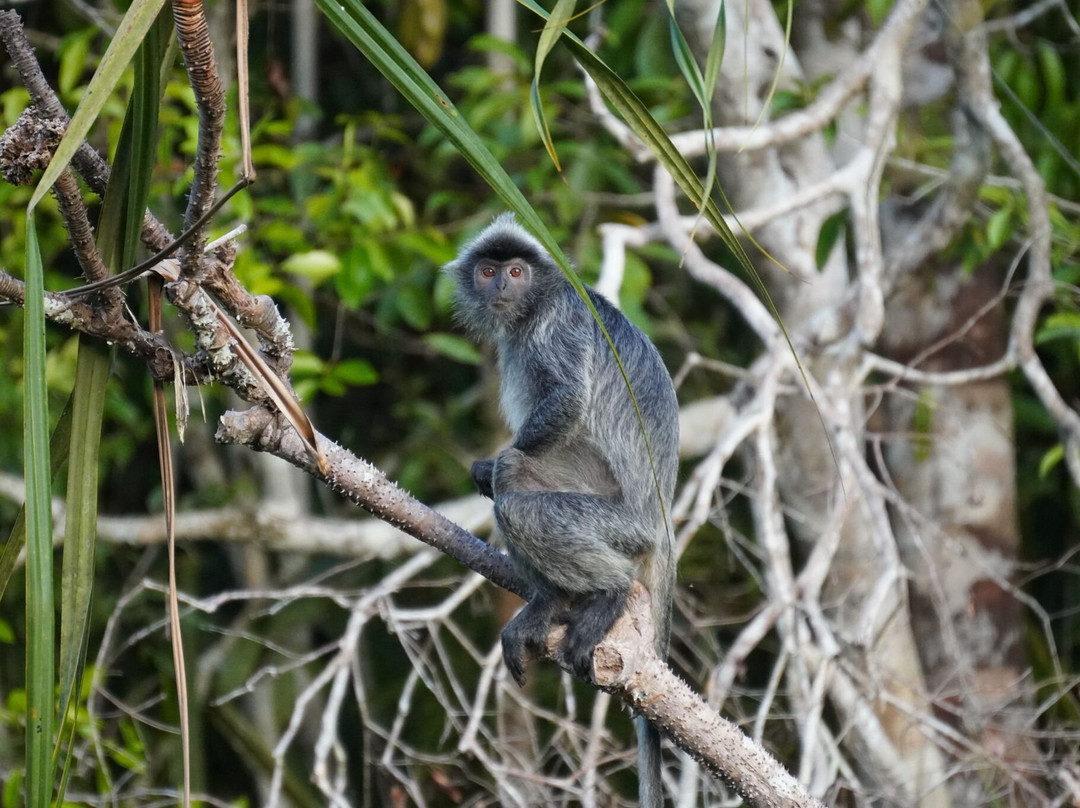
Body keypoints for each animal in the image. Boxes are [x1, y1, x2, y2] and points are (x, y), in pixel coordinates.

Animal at [446, 213, 679, 808]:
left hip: (617, 524)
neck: (529, 312)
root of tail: (662, 528)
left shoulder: (559, 324)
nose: (500, 287)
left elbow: (568, 401)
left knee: (515, 489)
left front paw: (488, 463)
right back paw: (548, 604)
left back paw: (607, 593)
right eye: (488, 271)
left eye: (516, 271)